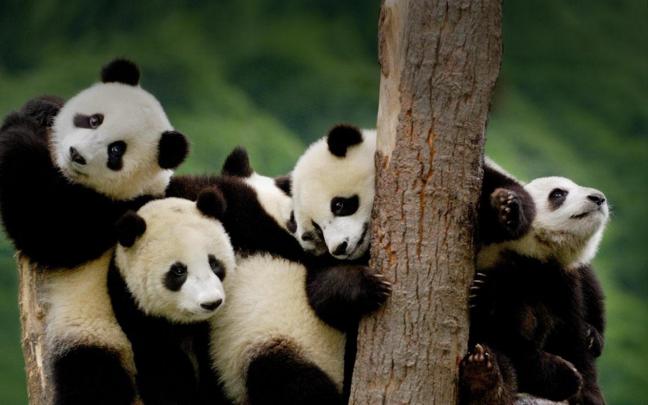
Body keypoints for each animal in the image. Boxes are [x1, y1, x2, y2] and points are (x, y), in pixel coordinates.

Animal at [0, 59, 189, 404]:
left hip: (97, 334)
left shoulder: (111, 213)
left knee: (93, 379)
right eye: (94, 119)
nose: (77, 154)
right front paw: (43, 108)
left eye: (116, 151)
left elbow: (43, 225)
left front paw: (18, 123)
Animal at [460, 175, 609, 405]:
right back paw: (483, 377)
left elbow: (568, 334)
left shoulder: (560, 281)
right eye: (558, 193)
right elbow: (510, 336)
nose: (598, 198)